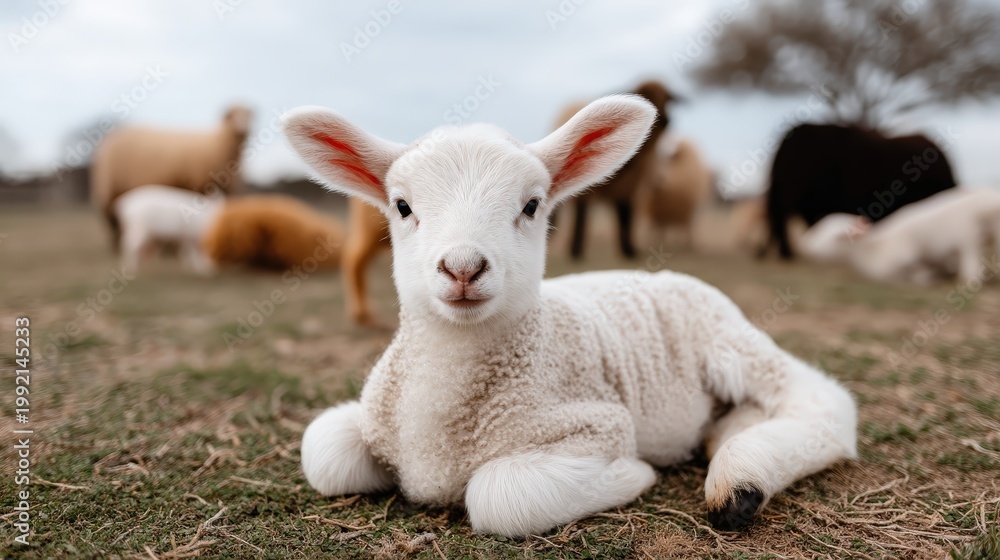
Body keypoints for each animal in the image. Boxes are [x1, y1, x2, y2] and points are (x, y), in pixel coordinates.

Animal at [91, 105, 253, 250]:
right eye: (233, 114)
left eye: (249, 115)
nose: (243, 128)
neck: (217, 143)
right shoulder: (201, 187)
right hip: (110, 189)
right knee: (111, 219)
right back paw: (117, 244)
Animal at [283, 95, 857, 537]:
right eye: (402, 206)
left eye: (532, 206)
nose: (463, 267)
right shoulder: (371, 411)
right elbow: (323, 450)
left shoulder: (599, 424)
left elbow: (499, 495)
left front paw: (633, 477)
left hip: (729, 342)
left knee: (822, 401)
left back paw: (740, 480)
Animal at [799, 188, 1000, 285]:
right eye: (820, 226)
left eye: (838, 237)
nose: (806, 244)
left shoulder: (905, 259)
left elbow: (919, 274)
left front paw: (930, 276)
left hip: (969, 234)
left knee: (971, 258)